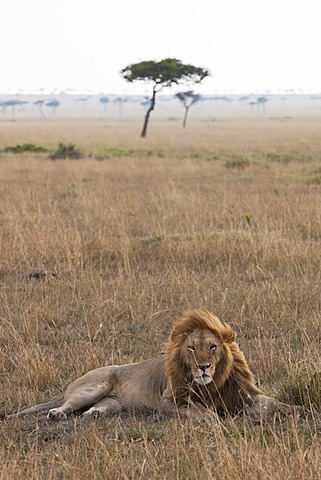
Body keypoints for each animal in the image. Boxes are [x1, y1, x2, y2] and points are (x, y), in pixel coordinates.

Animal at [6, 312, 296, 420]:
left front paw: (296, 410)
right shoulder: (171, 401)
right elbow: (204, 412)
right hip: (94, 386)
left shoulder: (244, 394)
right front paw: (215, 419)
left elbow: (273, 402)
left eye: (213, 346)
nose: (203, 367)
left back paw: (93, 415)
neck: (211, 383)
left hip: (112, 403)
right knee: (68, 405)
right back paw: (56, 413)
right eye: (192, 348)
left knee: (94, 410)